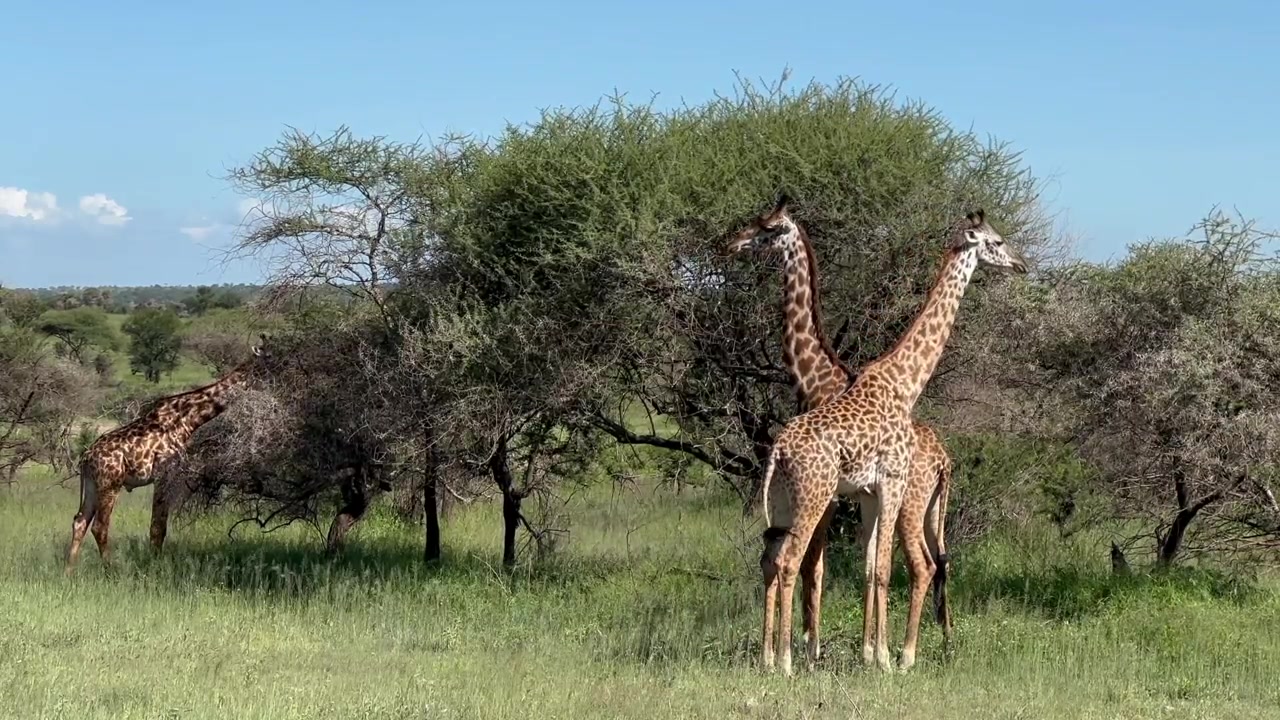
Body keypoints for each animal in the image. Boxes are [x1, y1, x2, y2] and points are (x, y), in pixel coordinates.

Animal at [66, 335, 278, 573]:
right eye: (269, 356)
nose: (282, 369)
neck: (189, 419)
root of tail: (85, 459)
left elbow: (159, 526)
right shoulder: (165, 473)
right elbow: (158, 527)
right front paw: (154, 566)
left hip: (93, 485)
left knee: (80, 521)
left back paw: (69, 571)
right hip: (110, 483)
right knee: (100, 526)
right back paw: (111, 570)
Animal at [726, 193, 953, 671]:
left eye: (767, 228)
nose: (730, 244)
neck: (814, 377)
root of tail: (944, 458)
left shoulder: (830, 497)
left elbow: (815, 566)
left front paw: (811, 648)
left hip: (906, 503)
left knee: (918, 564)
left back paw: (901, 653)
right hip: (924, 509)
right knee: (941, 560)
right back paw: (940, 641)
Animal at [755, 208, 1025, 674]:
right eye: (997, 242)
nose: (1021, 265)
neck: (902, 381)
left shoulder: (870, 491)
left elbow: (870, 568)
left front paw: (866, 653)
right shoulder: (884, 485)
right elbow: (869, 568)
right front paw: (871, 655)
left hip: (806, 501)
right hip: (831, 497)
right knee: (796, 560)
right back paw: (798, 660)